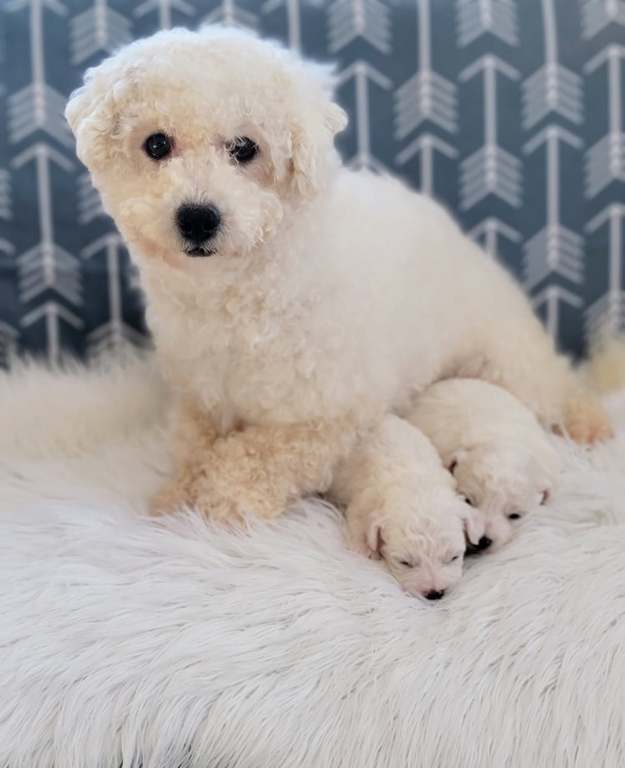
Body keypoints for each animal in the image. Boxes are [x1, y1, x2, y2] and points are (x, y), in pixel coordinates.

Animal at [65, 25, 610, 525]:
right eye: (157, 144)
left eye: (244, 148)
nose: (198, 217)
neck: (241, 293)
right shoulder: (200, 396)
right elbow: (194, 443)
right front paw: (179, 494)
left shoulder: (327, 413)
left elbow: (260, 456)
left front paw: (221, 500)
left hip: (505, 360)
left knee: (552, 387)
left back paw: (588, 421)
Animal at [331, 415, 484, 599]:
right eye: (405, 563)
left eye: (453, 558)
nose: (435, 594)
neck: (414, 483)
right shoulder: (363, 501)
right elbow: (359, 523)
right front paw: (365, 549)